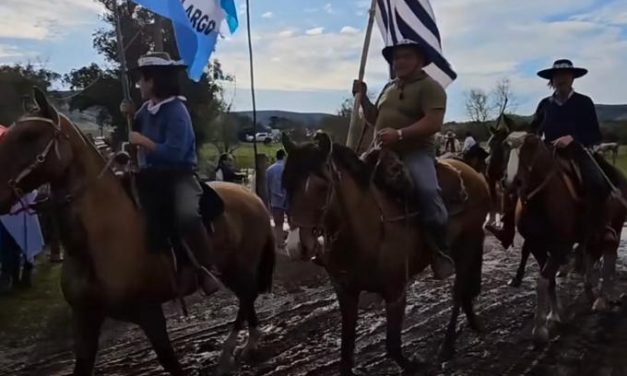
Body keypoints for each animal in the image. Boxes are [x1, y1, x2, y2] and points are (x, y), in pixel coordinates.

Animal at [0, 89, 278, 376]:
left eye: (29, 135)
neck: (100, 239)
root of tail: (252, 196)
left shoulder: (149, 313)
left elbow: (170, 361)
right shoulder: (86, 318)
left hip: (239, 268)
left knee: (247, 296)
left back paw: (230, 350)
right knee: (247, 298)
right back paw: (247, 343)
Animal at [280, 131, 490, 374]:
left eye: (322, 186)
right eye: (285, 185)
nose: (296, 247)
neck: (368, 227)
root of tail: (472, 172)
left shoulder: (396, 292)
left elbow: (393, 347)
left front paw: (415, 364)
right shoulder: (346, 294)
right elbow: (346, 352)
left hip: (468, 244)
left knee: (458, 291)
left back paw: (448, 345)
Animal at [508, 133, 624, 344]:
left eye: (531, 147)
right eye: (505, 146)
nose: (513, 182)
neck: (541, 203)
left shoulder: (560, 247)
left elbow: (543, 280)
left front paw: (540, 329)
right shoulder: (537, 246)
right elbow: (549, 279)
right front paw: (554, 315)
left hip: (615, 227)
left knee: (609, 256)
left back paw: (604, 298)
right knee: (591, 255)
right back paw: (589, 288)